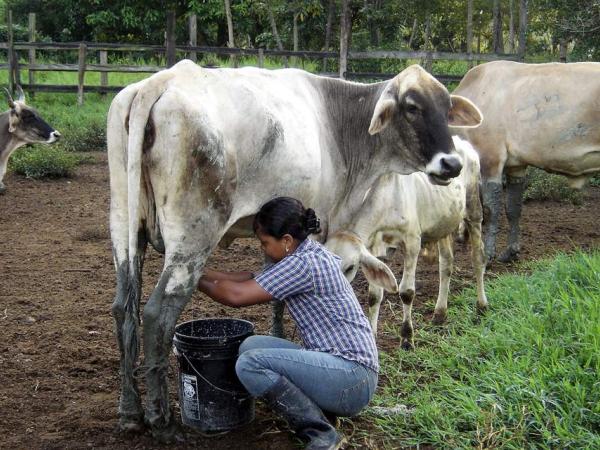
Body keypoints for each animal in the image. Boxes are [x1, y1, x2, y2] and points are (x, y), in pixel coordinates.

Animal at [324, 136, 488, 348]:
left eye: (350, 267)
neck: (387, 199)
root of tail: (463, 142)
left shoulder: (412, 242)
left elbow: (406, 292)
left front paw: (407, 337)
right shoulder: (375, 247)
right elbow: (374, 295)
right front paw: (373, 336)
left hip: (474, 209)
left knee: (478, 258)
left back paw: (482, 306)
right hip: (444, 222)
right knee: (446, 264)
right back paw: (439, 313)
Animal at [454, 61, 600, 262]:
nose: (459, 238)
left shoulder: (490, 158)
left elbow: (491, 209)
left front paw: (488, 255)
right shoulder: (516, 166)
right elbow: (513, 209)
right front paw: (510, 252)